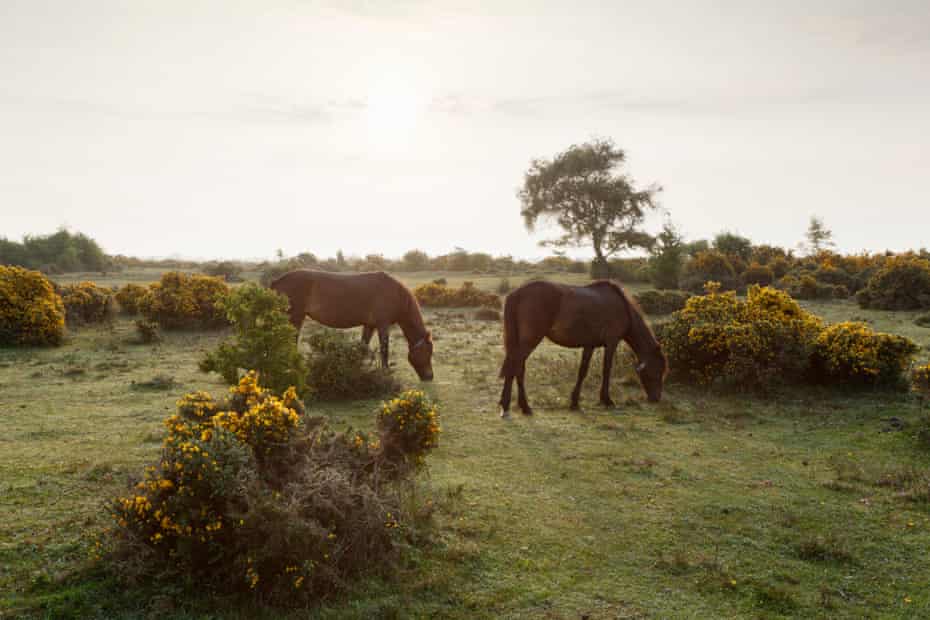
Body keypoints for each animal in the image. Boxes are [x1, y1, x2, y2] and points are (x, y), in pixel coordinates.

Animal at [270, 268, 434, 380]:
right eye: (428, 353)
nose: (430, 377)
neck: (395, 293)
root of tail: (278, 281)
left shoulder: (370, 325)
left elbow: (362, 348)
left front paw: (357, 369)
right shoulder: (383, 325)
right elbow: (384, 349)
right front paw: (385, 373)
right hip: (295, 317)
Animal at [500, 280, 668, 416]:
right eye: (657, 371)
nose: (656, 398)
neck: (622, 306)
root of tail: (517, 293)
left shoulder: (589, 345)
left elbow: (582, 371)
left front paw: (574, 402)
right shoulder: (612, 342)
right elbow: (606, 370)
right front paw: (607, 400)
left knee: (517, 368)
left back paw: (516, 405)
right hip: (530, 341)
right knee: (516, 367)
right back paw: (515, 407)